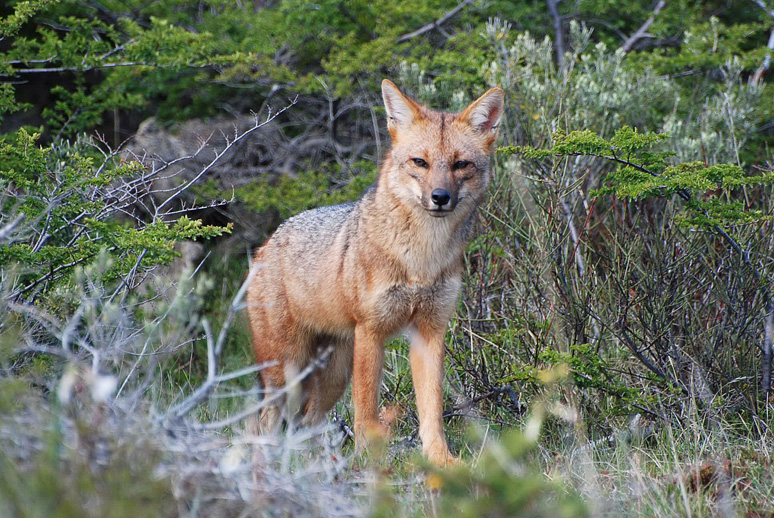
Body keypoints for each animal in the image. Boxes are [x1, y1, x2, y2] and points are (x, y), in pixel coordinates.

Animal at [246, 80, 506, 468]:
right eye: (420, 162)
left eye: (461, 164)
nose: (440, 197)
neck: (421, 260)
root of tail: (266, 244)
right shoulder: (371, 331)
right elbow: (366, 409)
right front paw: (368, 461)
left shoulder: (430, 331)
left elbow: (432, 409)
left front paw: (441, 461)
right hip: (288, 371)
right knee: (266, 422)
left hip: (332, 374)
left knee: (306, 423)